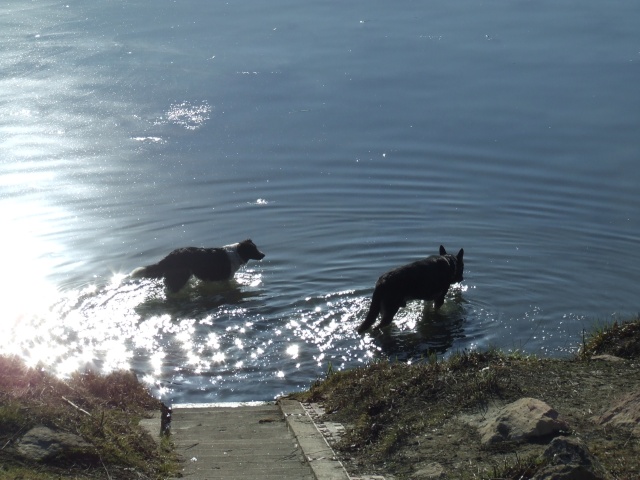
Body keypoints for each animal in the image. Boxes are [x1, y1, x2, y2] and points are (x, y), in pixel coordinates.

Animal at [131, 239, 264, 292]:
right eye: (254, 249)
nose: (263, 255)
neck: (237, 252)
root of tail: (170, 256)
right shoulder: (225, 278)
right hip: (180, 277)